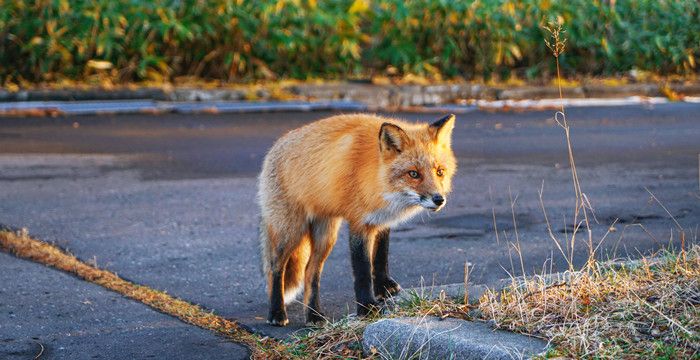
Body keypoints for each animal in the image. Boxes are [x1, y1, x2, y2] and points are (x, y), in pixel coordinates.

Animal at [260, 113, 456, 326]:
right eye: (414, 174)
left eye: (440, 171)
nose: (439, 199)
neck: (378, 178)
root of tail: (275, 146)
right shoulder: (359, 223)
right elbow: (362, 270)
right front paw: (367, 307)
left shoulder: (381, 220)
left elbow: (380, 256)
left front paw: (383, 287)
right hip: (290, 231)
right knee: (275, 268)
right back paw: (277, 312)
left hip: (325, 236)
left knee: (310, 272)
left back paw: (314, 315)